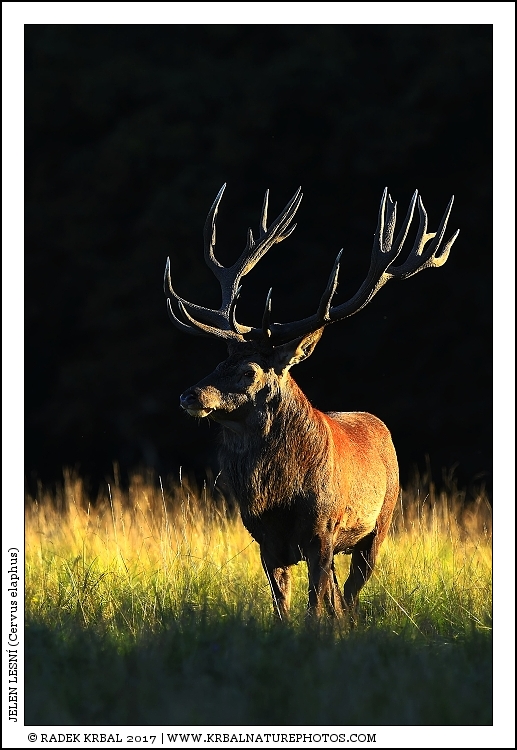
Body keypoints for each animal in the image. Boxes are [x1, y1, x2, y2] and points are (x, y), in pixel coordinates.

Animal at [163, 184, 459, 621]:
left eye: (249, 371)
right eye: (218, 362)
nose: (189, 395)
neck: (277, 499)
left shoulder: (322, 532)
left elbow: (315, 609)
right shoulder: (265, 541)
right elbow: (284, 609)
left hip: (381, 523)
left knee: (349, 595)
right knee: (340, 595)